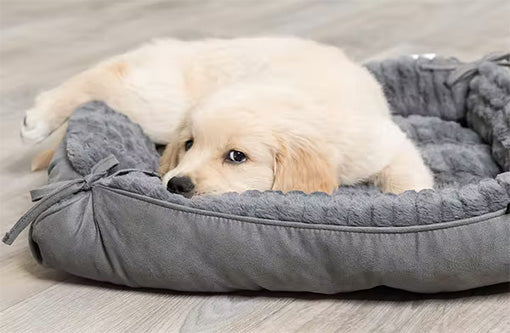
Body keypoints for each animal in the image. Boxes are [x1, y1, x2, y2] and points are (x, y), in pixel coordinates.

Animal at [21, 37, 432, 195]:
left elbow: (407, 180)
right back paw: (36, 118)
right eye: (189, 144)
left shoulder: (384, 146)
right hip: (160, 105)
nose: (177, 185)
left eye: (236, 156)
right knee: (106, 75)